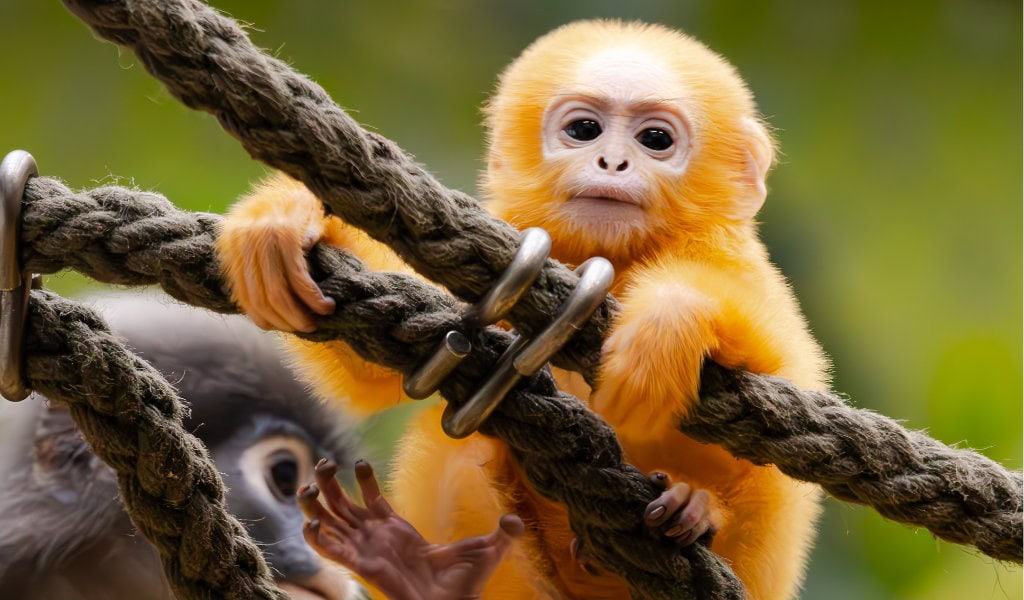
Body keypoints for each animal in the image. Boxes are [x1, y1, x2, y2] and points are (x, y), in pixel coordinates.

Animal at [216, 19, 830, 599]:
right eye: (583, 130)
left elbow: (788, 376)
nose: (612, 161)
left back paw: (692, 508)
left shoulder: (736, 262)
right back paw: (420, 574)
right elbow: (376, 374)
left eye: (656, 139)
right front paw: (284, 218)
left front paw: (669, 323)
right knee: (459, 454)